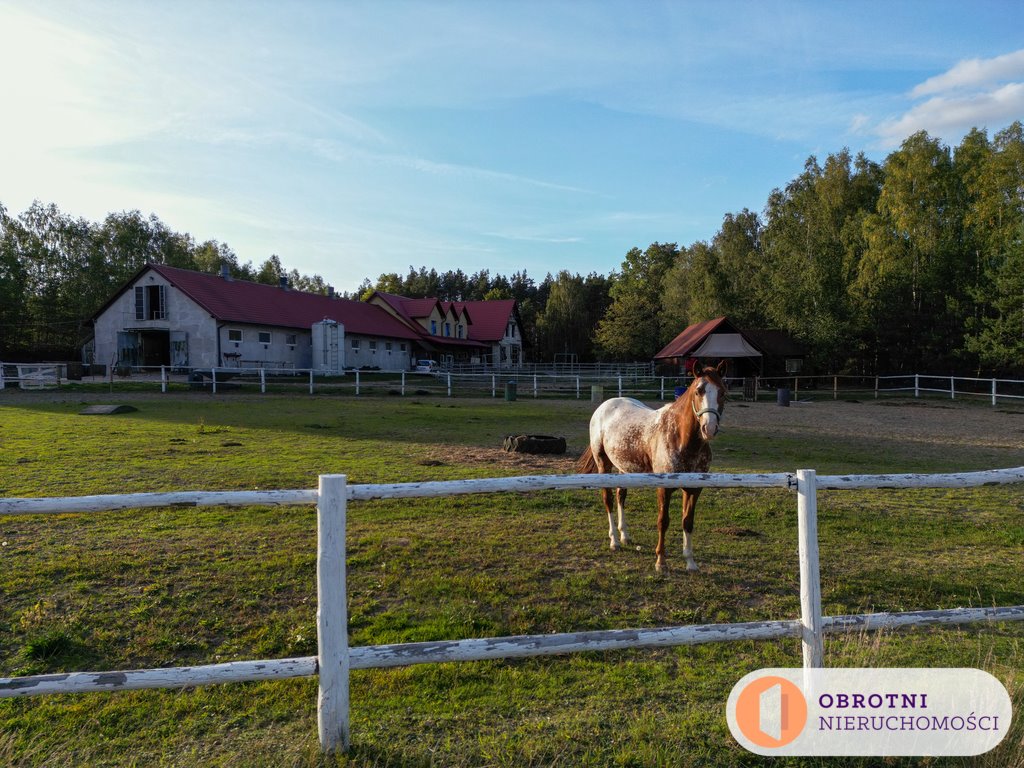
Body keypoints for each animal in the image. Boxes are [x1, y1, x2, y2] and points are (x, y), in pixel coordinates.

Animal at [577, 364, 729, 573]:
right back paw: (614, 541)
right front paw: (661, 561)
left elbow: (687, 522)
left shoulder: (693, 489)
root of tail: (604, 406)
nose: (709, 428)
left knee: (621, 496)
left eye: (722, 392)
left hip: (624, 468)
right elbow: (663, 521)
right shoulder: (663, 489)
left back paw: (625, 536)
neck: (681, 438)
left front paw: (690, 562)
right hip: (603, 464)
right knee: (608, 499)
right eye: (699, 391)